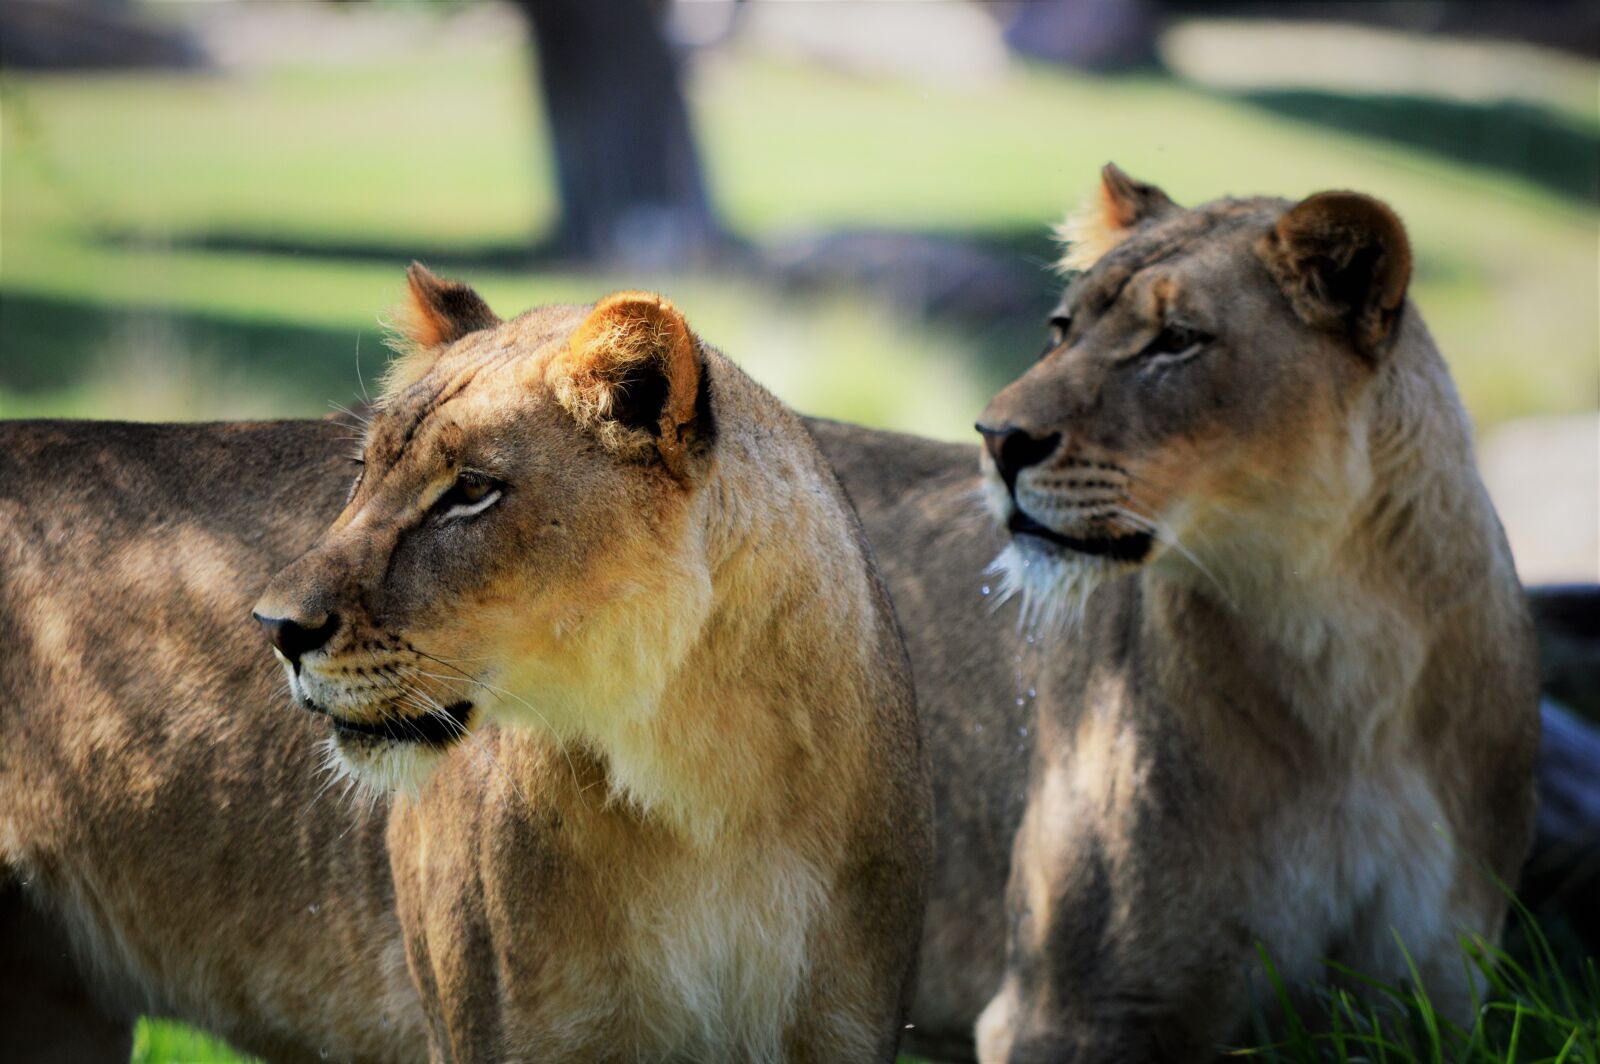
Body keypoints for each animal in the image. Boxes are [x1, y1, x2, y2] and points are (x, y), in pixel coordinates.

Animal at [808, 165, 1541, 1062]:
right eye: (1062, 327)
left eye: (1176, 340)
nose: (996, 438)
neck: (1344, 654)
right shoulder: (1065, 1010)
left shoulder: (1429, 993)